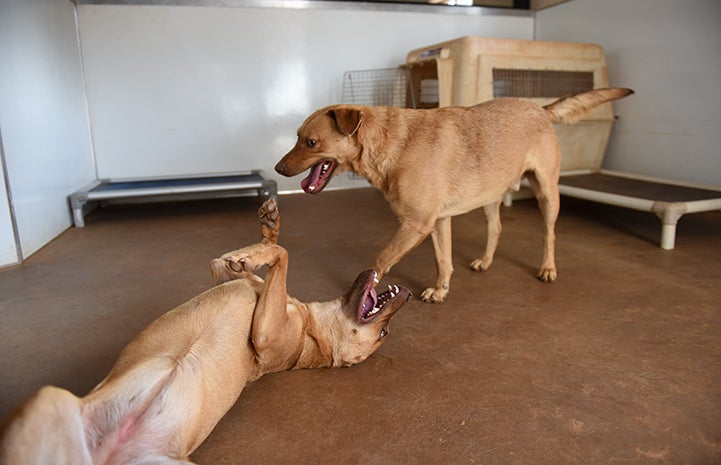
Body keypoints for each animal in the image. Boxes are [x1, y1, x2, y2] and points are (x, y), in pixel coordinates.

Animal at [0, 198, 410, 464]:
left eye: (384, 335)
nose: (405, 294)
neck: (312, 328)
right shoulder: (227, 273)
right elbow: (257, 252)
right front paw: (267, 229)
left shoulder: (265, 331)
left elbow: (283, 254)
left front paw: (265, 246)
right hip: (47, 402)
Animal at [272, 88, 632, 302]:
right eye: (297, 137)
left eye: (311, 143)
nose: (277, 169)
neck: (391, 143)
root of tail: (541, 110)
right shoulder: (439, 222)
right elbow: (443, 261)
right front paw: (441, 290)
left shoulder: (415, 225)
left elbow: (380, 259)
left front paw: (364, 289)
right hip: (490, 197)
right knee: (496, 228)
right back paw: (486, 261)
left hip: (547, 193)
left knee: (549, 234)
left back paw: (547, 268)